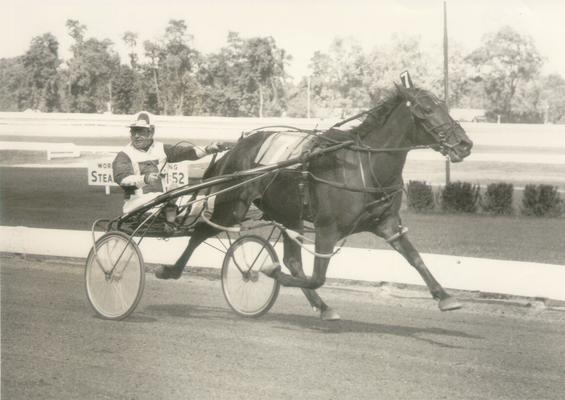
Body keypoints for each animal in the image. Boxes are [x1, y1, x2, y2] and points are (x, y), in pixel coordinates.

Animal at [154, 76, 472, 322]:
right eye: (427, 109)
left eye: (445, 106)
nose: (465, 144)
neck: (364, 166)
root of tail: (236, 147)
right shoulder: (326, 228)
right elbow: (317, 275)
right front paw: (270, 272)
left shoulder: (387, 224)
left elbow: (415, 258)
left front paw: (445, 296)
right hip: (233, 206)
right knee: (200, 232)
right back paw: (170, 270)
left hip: (287, 214)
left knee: (292, 260)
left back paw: (322, 305)